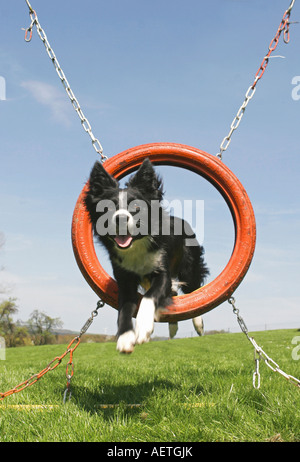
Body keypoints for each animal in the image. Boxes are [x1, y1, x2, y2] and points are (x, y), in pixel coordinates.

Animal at [83, 159, 207, 354]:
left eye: (136, 207)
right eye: (107, 208)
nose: (120, 219)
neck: (136, 246)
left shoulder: (162, 272)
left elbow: (149, 297)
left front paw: (143, 328)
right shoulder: (124, 279)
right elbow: (124, 309)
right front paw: (125, 337)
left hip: (189, 267)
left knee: (193, 289)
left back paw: (198, 323)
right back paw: (173, 327)